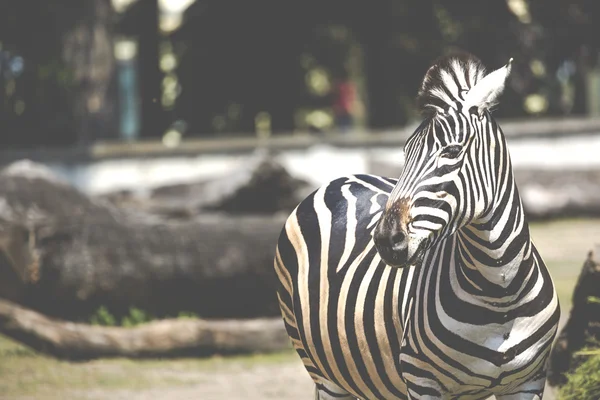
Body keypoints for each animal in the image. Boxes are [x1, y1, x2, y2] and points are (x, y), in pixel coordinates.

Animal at [274, 51, 560, 398]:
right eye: (405, 152)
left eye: (452, 150)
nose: (385, 240)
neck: (500, 292)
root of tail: (340, 178)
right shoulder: (421, 379)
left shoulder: (529, 381)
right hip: (323, 372)